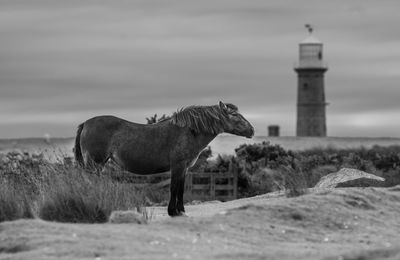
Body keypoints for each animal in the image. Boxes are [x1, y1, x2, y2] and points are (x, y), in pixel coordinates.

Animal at [74, 100, 253, 216]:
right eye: (234, 115)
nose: (252, 130)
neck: (188, 131)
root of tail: (86, 123)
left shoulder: (184, 169)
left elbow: (180, 189)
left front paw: (181, 210)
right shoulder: (178, 166)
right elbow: (173, 188)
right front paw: (172, 211)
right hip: (94, 163)